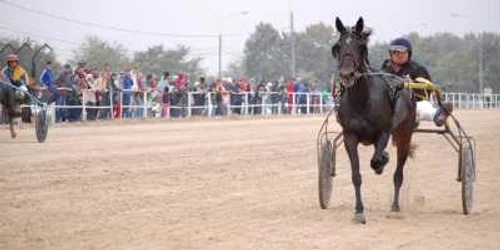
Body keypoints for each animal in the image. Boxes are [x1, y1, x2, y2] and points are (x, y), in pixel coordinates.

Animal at [334, 18, 416, 225]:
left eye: (361, 47)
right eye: (337, 47)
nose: (347, 75)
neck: (362, 100)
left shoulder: (384, 132)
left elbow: (376, 159)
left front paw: (382, 161)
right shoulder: (349, 136)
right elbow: (356, 175)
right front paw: (358, 211)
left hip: (404, 135)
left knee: (398, 173)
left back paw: (395, 207)